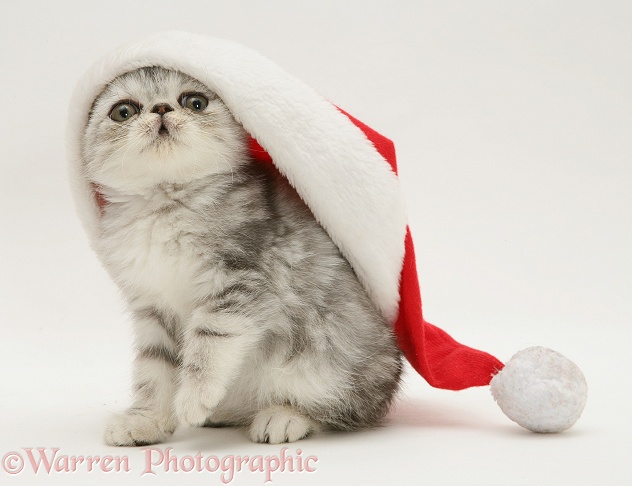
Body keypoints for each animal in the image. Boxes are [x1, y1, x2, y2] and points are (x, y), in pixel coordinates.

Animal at [82, 66, 400, 446]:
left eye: (195, 102)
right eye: (123, 111)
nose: (160, 108)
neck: (167, 204)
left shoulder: (242, 282)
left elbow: (209, 343)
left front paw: (194, 398)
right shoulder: (152, 307)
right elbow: (155, 370)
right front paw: (147, 420)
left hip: (328, 362)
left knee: (346, 410)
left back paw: (283, 416)